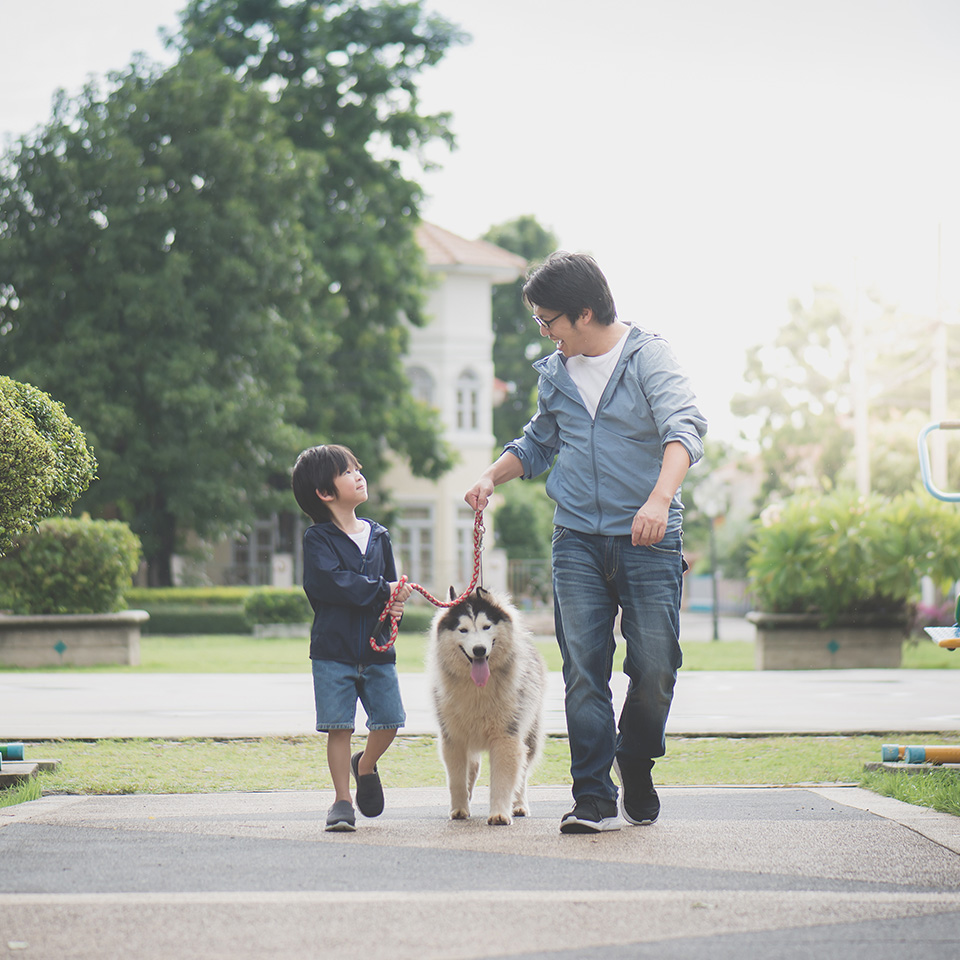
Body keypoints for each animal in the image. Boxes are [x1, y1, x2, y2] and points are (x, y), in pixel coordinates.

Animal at [428, 584, 548, 824]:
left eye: (486, 626)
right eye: (463, 630)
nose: (479, 650)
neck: (478, 688)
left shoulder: (506, 736)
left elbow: (503, 779)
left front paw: (500, 813)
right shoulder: (453, 737)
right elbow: (457, 779)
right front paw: (459, 808)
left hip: (530, 732)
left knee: (522, 773)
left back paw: (519, 805)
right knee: (473, 767)